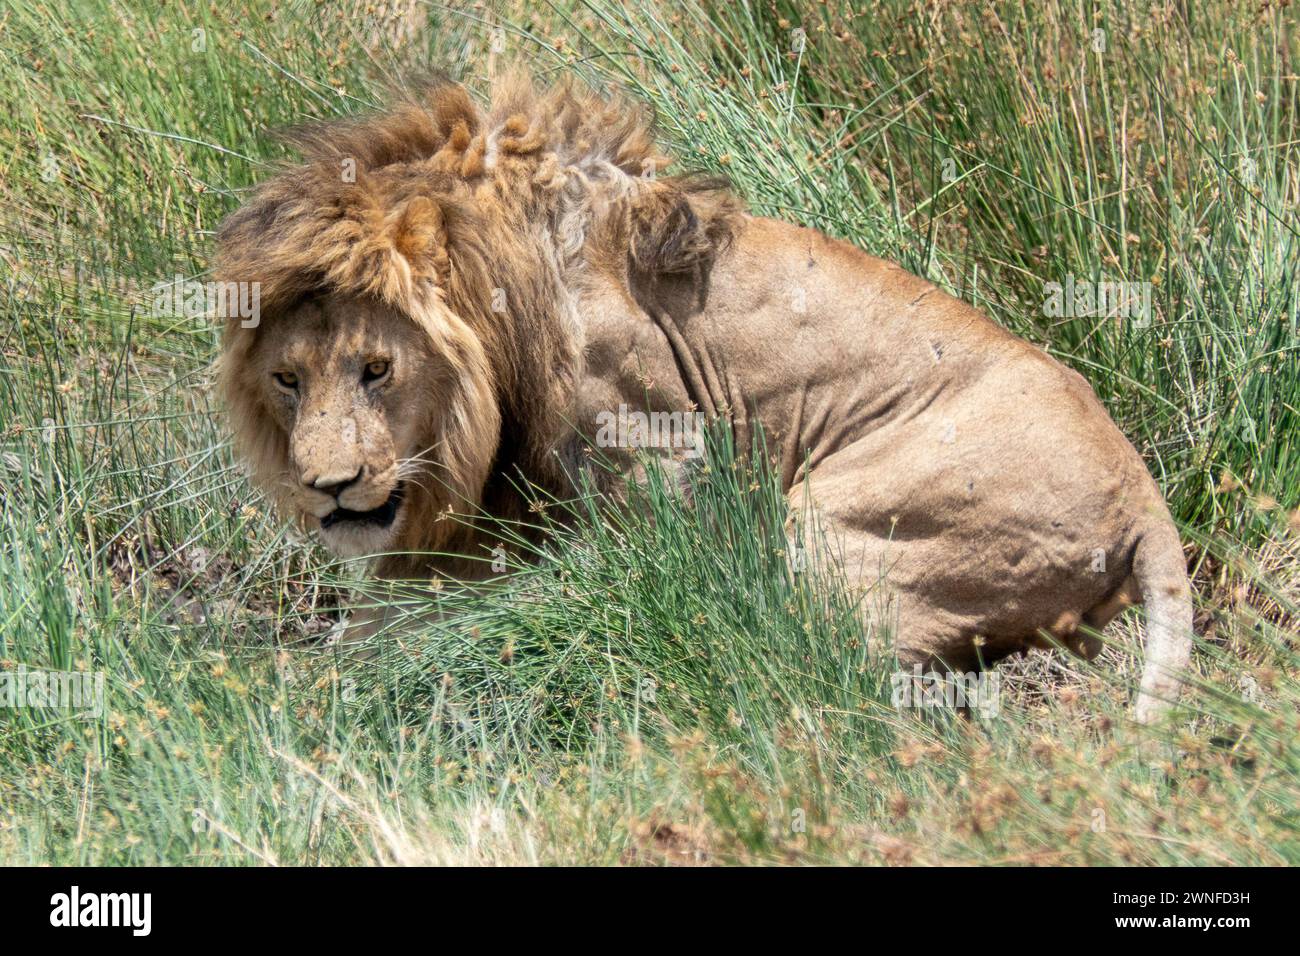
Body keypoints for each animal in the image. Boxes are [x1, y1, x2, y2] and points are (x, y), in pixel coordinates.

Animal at [215, 72, 1192, 723]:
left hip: (837, 527)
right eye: (288, 380)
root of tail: (1145, 497)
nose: (329, 489)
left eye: (377, 369)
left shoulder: (663, 459)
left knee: (853, 684)